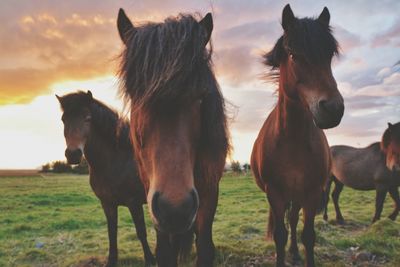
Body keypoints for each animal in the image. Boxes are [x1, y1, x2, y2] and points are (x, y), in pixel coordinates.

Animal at [55, 91, 155, 266]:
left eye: (87, 118)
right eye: (63, 119)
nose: (73, 154)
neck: (117, 160)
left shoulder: (134, 203)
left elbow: (141, 231)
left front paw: (150, 259)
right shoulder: (107, 204)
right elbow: (111, 233)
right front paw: (111, 261)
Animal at [115, 8, 228, 267]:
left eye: (200, 96)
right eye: (136, 95)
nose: (175, 209)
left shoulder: (209, 192)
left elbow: (204, 246)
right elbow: (165, 252)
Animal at [253, 4, 344, 267]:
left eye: (329, 55)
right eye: (293, 54)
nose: (333, 109)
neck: (292, 142)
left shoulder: (312, 192)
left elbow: (308, 235)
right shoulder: (275, 193)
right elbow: (280, 235)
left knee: (294, 220)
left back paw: (294, 252)